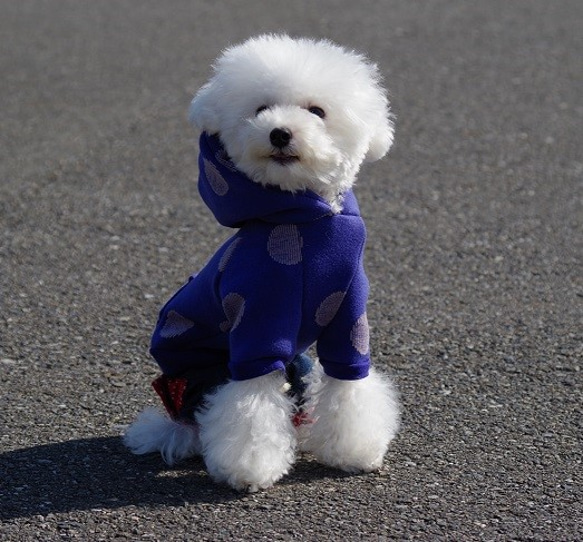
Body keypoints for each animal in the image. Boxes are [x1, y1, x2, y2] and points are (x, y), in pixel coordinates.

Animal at [125, 34, 402, 492]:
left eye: (317, 111)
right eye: (260, 109)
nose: (280, 132)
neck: (302, 223)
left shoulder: (348, 320)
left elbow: (348, 385)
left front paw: (353, 450)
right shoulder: (257, 323)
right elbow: (251, 405)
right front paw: (249, 468)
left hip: (298, 362)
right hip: (203, 372)